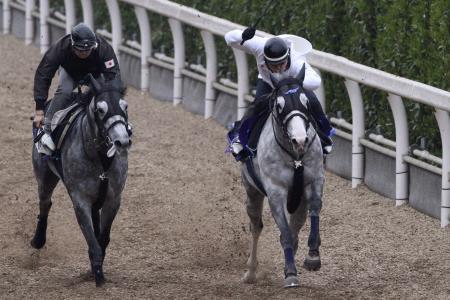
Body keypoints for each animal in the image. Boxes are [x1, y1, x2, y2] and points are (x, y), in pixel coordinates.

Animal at [30, 75, 130, 286]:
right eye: (100, 110)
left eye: (125, 106)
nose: (122, 141)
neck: (99, 158)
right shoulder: (80, 200)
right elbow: (92, 240)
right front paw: (98, 275)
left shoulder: (113, 199)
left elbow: (102, 238)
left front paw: (96, 270)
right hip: (45, 178)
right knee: (45, 204)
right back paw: (38, 240)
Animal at [239, 69, 324, 288]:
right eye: (279, 106)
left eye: (306, 102)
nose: (300, 140)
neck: (295, 157)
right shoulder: (275, 191)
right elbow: (284, 232)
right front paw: (291, 274)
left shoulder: (314, 180)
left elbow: (314, 209)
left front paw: (312, 257)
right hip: (251, 191)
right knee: (256, 227)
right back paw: (251, 272)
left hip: (298, 202)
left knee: (295, 227)